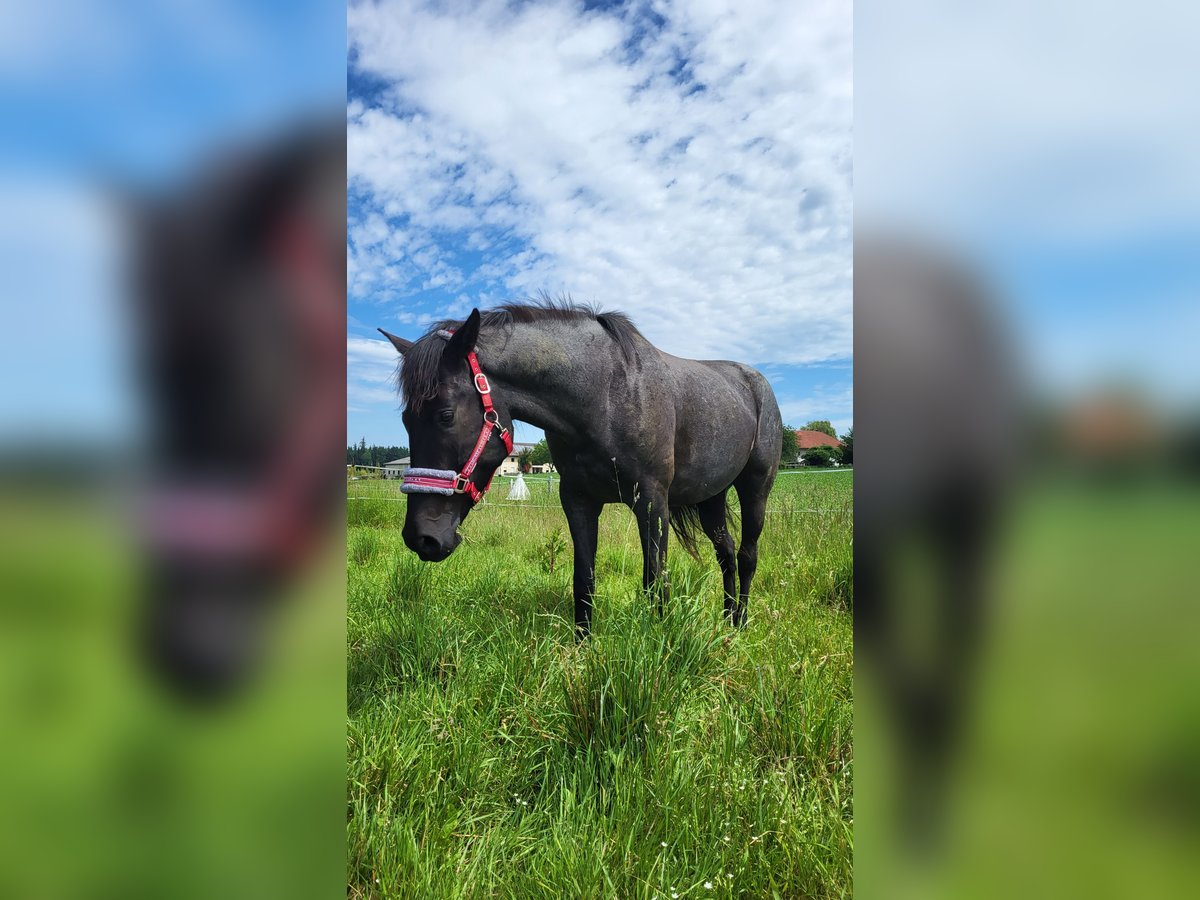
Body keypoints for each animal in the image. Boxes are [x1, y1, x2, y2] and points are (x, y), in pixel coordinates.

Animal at [379, 303, 782, 633]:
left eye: (445, 415)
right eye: (405, 420)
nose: (421, 538)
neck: (604, 395)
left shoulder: (652, 501)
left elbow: (655, 581)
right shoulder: (578, 500)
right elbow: (584, 580)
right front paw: (582, 651)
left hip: (755, 489)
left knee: (746, 556)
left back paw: (741, 624)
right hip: (711, 497)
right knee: (726, 553)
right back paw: (727, 622)